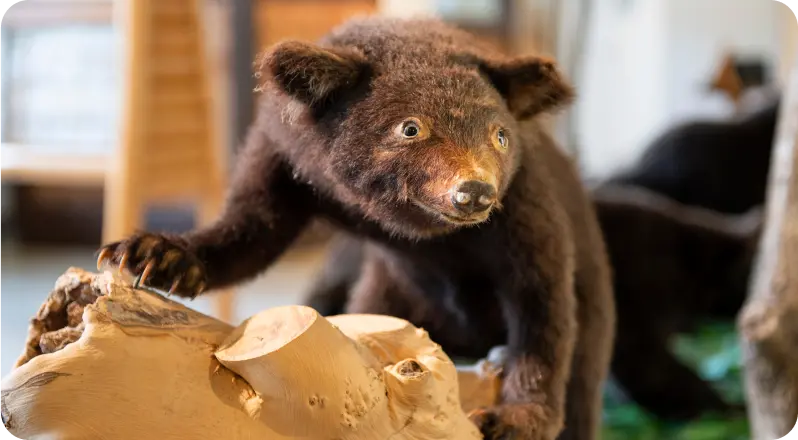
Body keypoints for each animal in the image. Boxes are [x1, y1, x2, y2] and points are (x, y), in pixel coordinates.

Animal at [97, 17, 616, 440]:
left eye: (501, 136)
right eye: (411, 127)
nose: (474, 191)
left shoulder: (524, 200)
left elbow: (539, 293)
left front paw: (514, 418)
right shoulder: (287, 156)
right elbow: (252, 225)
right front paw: (153, 256)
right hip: (388, 295)